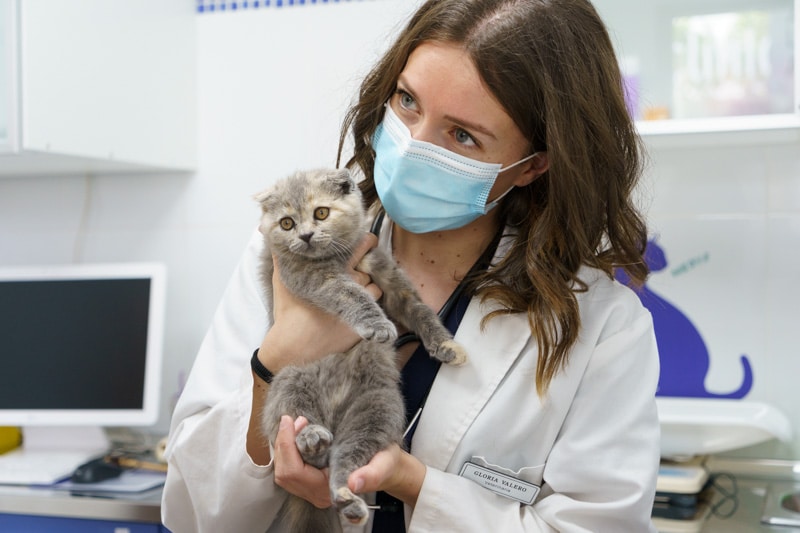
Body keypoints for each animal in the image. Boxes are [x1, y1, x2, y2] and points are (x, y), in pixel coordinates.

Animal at [255, 167, 468, 532]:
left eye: (321, 212)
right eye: (286, 223)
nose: (306, 235)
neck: (337, 258)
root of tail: (335, 415)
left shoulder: (388, 276)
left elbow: (419, 310)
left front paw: (446, 345)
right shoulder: (310, 277)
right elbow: (352, 294)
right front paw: (378, 324)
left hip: (376, 408)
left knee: (347, 460)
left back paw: (347, 497)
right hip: (289, 382)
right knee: (296, 419)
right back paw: (312, 439)